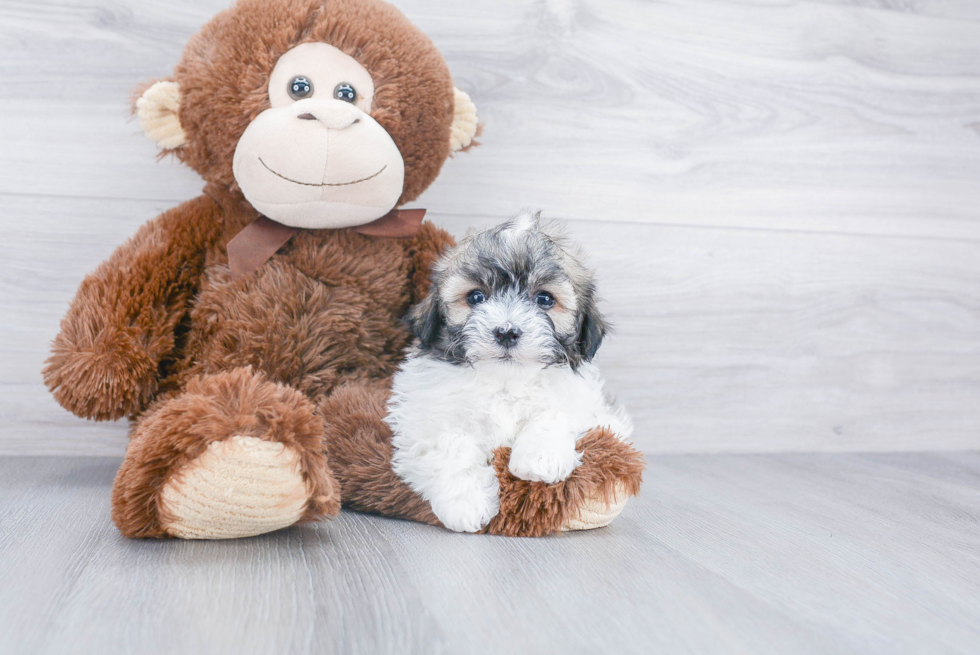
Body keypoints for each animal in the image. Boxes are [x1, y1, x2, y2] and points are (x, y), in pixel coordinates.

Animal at [386, 210, 632, 532]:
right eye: (476, 297)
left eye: (544, 299)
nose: (506, 332)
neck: (504, 380)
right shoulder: (422, 418)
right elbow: (448, 443)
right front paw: (466, 503)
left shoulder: (590, 408)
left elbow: (555, 411)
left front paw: (540, 457)